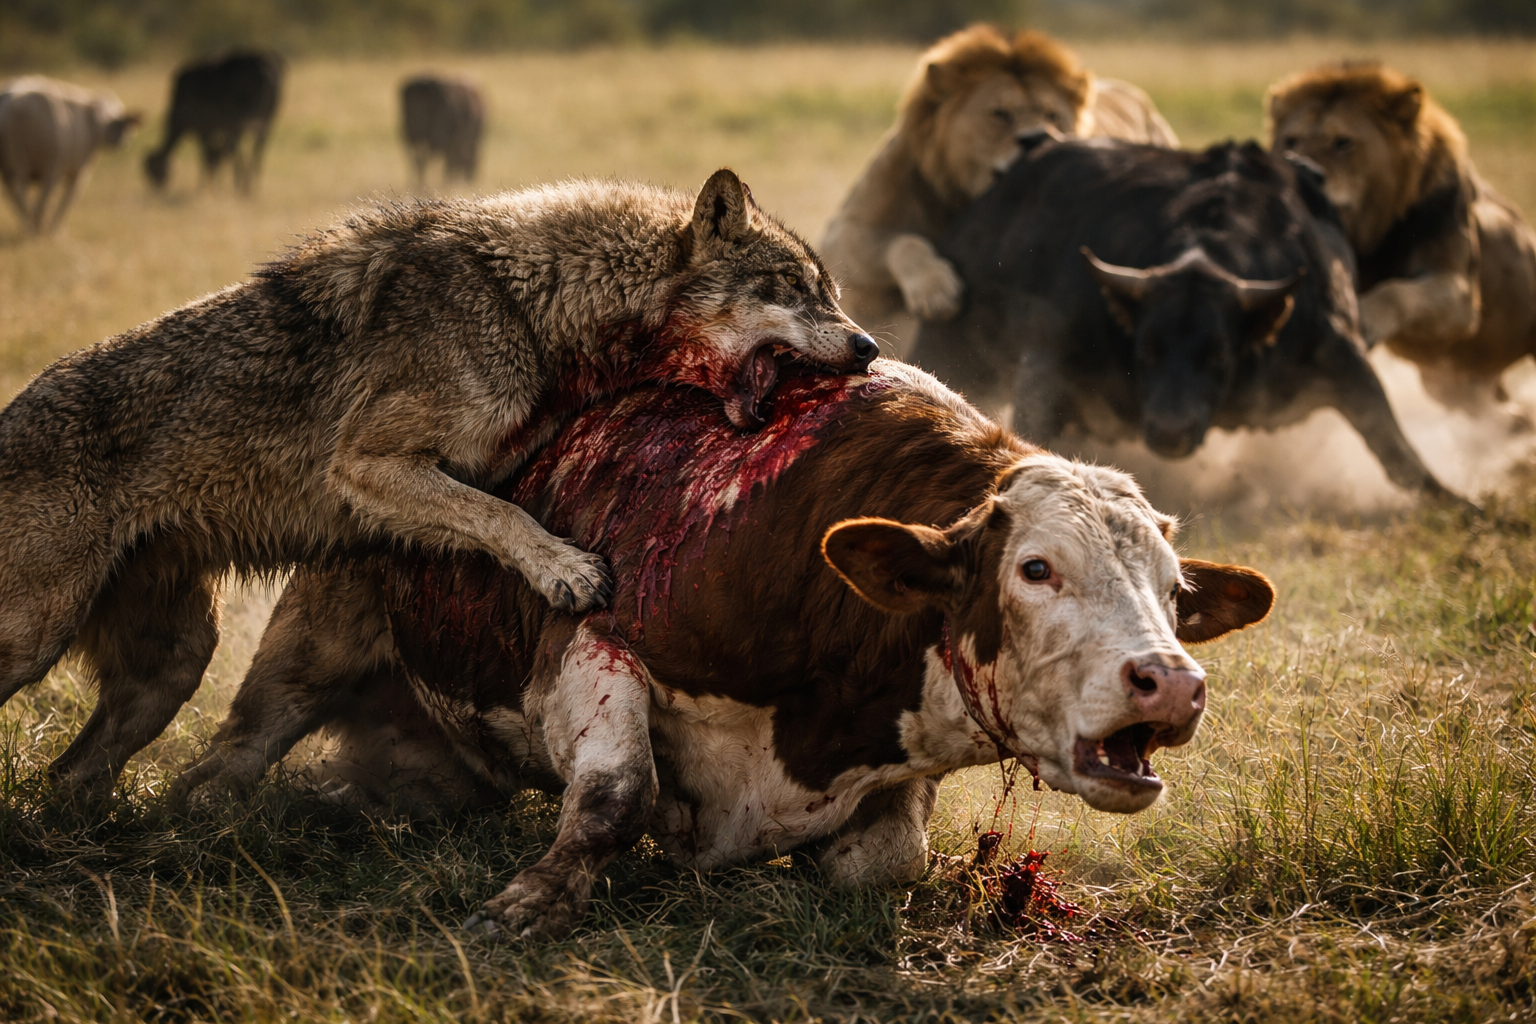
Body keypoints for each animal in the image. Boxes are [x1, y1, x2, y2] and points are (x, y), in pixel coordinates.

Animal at [0, 76, 139, 234]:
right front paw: (55, 230)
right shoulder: (79, 172)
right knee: (28, 194)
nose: (123, 143)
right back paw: (36, 226)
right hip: (44, 164)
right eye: (120, 125)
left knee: (19, 196)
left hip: (16, 164)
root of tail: (16, 105)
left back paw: (31, 225)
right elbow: (68, 199)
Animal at [143, 51, 283, 194]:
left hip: (239, 122)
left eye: (152, 171)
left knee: (236, 150)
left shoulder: (202, 128)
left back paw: (240, 186)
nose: (156, 189)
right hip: (265, 122)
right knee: (256, 151)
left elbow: (206, 155)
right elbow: (214, 155)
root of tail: (263, 65)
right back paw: (251, 189)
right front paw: (215, 186)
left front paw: (203, 186)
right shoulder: (215, 129)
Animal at [171, 361, 1274, 940]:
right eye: (1036, 569)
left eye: (1176, 594)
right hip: (313, 634)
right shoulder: (588, 645)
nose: (1171, 682)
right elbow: (614, 799)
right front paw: (526, 901)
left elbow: (890, 857)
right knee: (236, 747)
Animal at [909, 137, 1459, 503]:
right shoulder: (1053, 359)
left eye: (1219, 354)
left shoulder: (1340, 353)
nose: (1170, 431)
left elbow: (1397, 451)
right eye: (1146, 349)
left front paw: (1458, 503)